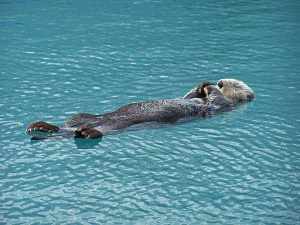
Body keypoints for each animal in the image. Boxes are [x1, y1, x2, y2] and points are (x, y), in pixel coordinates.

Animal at [26, 78, 255, 140]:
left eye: (235, 84)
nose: (220, 81)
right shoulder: (193, 99)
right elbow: (187, 96)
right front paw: (201, 85)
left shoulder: (221, 106)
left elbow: (217, 100)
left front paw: (209, 87)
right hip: (79, 116)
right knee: (66, 125)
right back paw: (39, 127)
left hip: (110, 127)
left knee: (89, 132)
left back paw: (87, 133)